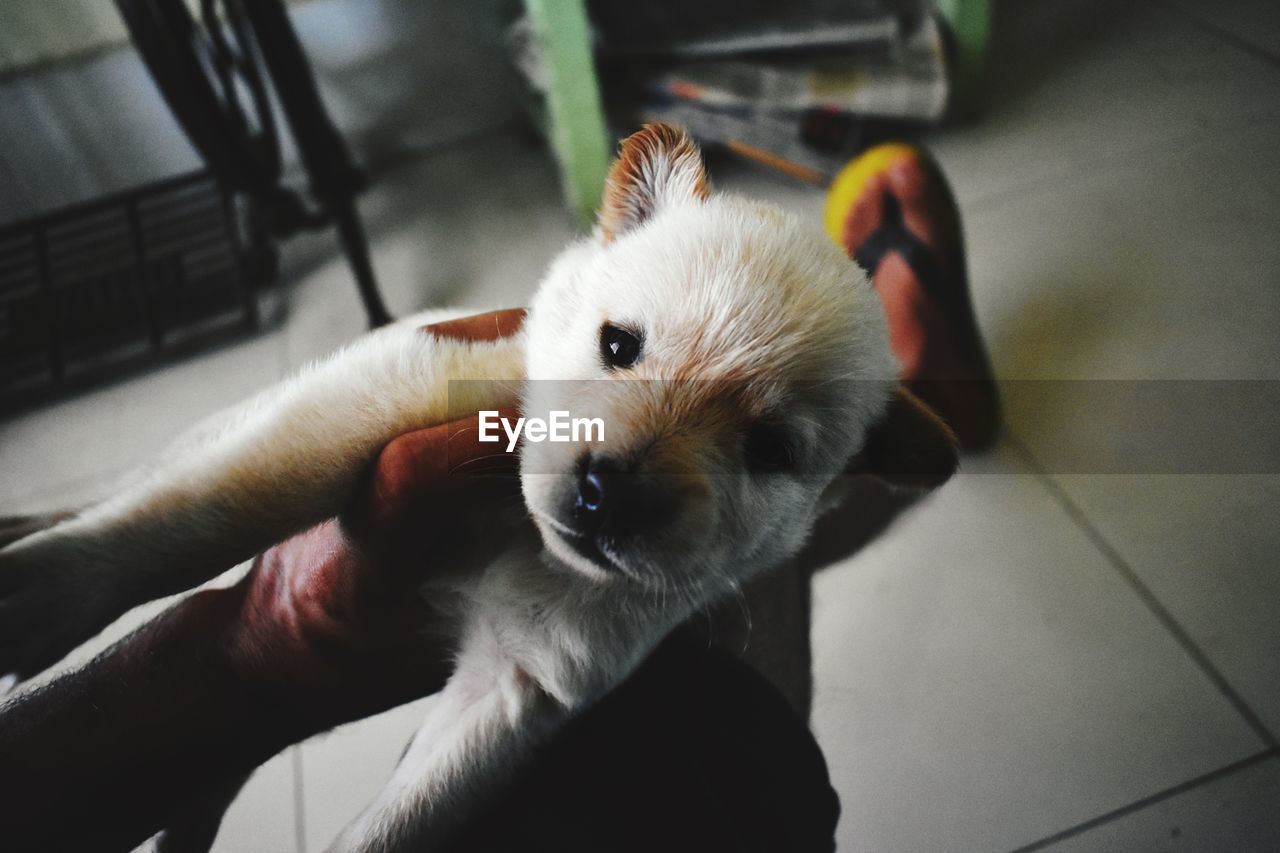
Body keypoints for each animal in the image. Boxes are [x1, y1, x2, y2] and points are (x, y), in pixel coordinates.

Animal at [0, 122, 962, 845]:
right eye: (619, 344)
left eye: (769, 450)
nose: (610, 493)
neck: (516, 531)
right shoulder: (396, 389)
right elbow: (214, 508)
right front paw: (42, 590)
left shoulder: (521, 683)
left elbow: (401, 821)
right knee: (155, 476)